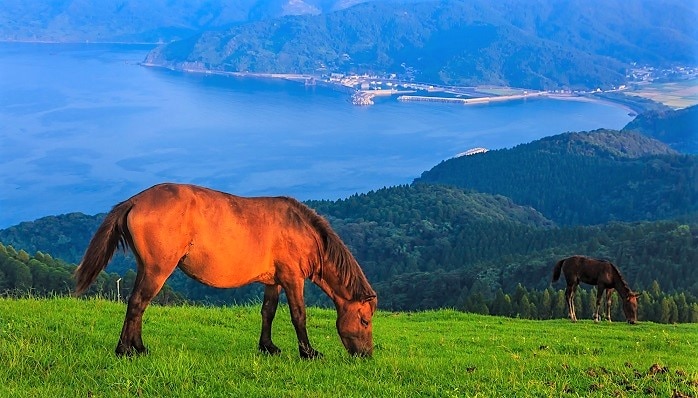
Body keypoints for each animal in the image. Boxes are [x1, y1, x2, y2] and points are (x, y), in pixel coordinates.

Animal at [75, 183, 376, 358]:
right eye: (364, 321)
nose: (366, 355)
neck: (301, 229)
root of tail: (136, 200)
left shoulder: (274, 281)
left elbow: (268, 312)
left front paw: (268, 347)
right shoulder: (293, 279)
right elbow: (298, 316)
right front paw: (309, 352)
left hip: (146, 268)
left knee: (138, 304)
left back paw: (137, 347)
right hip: (157, 270)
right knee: (137, 303)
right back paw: (126, 350)